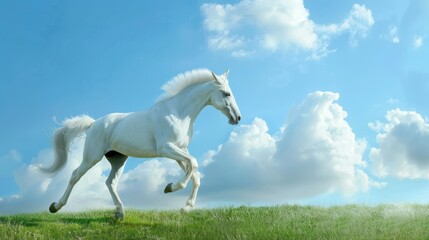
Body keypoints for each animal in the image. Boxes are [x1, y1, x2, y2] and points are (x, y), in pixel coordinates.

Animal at [38, 68, 241, 219]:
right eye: (226, 93)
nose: (237, 118)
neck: (178, 113)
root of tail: (93, 124)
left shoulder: (180, 150)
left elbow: (195, 173)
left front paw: (186, 207)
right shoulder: (167, 148)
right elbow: (193, 165)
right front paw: (170, 188)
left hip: (118, 159)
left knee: (110, 182)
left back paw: (120, 212)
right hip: (91, 157)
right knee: (75, 176)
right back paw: (56, 206)